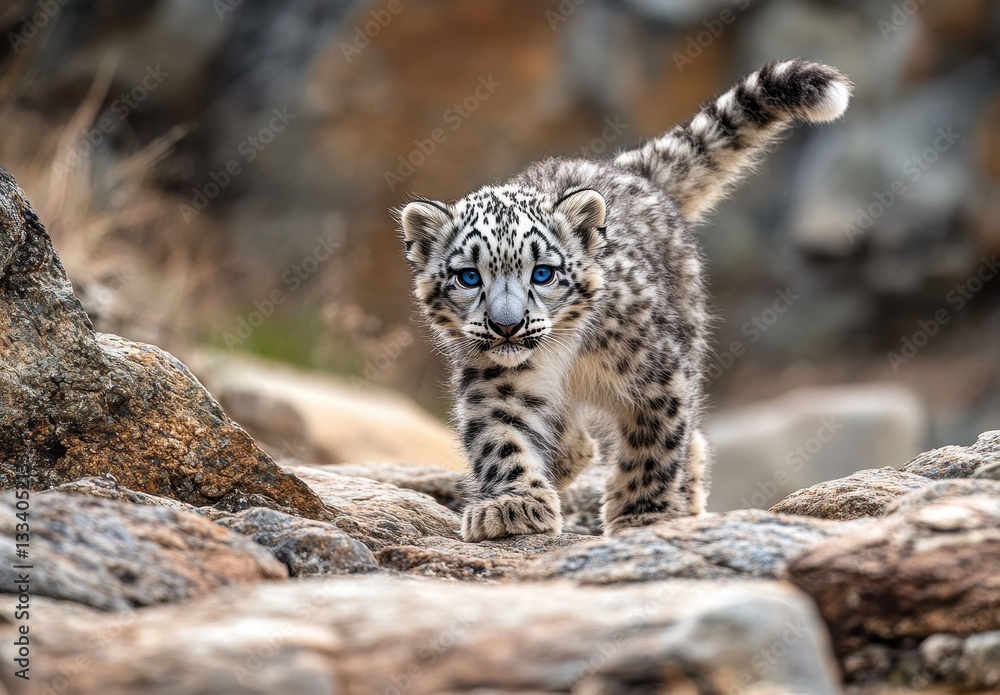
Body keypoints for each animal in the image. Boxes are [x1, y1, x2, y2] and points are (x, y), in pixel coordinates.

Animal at [397, 60, 852, 541]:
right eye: (469, 277)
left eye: (543, 273)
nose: (507, 325)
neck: (562, 358)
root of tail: (626, 169)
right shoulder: (495, 383)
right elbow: (502, 439)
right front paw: (512, 506)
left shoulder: (660, 377)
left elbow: (654, 445)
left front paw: (642, 516)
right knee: (581, 444)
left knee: (687, 441)